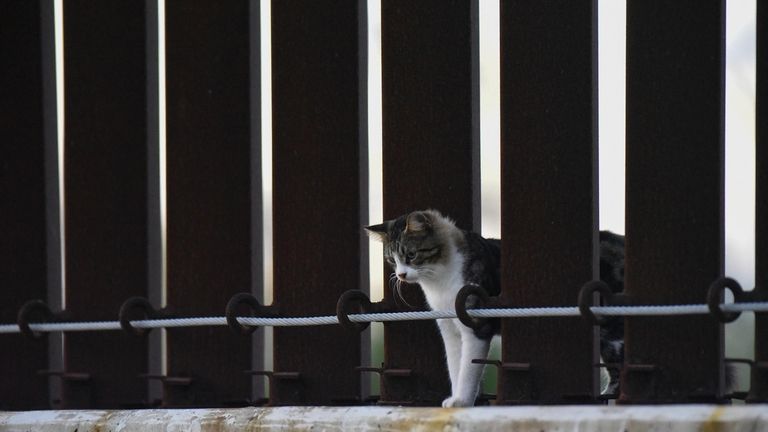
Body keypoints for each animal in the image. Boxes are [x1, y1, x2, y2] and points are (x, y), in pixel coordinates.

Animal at [366, 209, 624, 408]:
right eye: (391, 259)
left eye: (411, 255)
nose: (401, 275)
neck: (439, 281)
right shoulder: (448, 327)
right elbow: (454, 364)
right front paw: (457, 398)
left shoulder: (474, 322)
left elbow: (468, 366)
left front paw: (462, 401)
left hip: (612, 331)